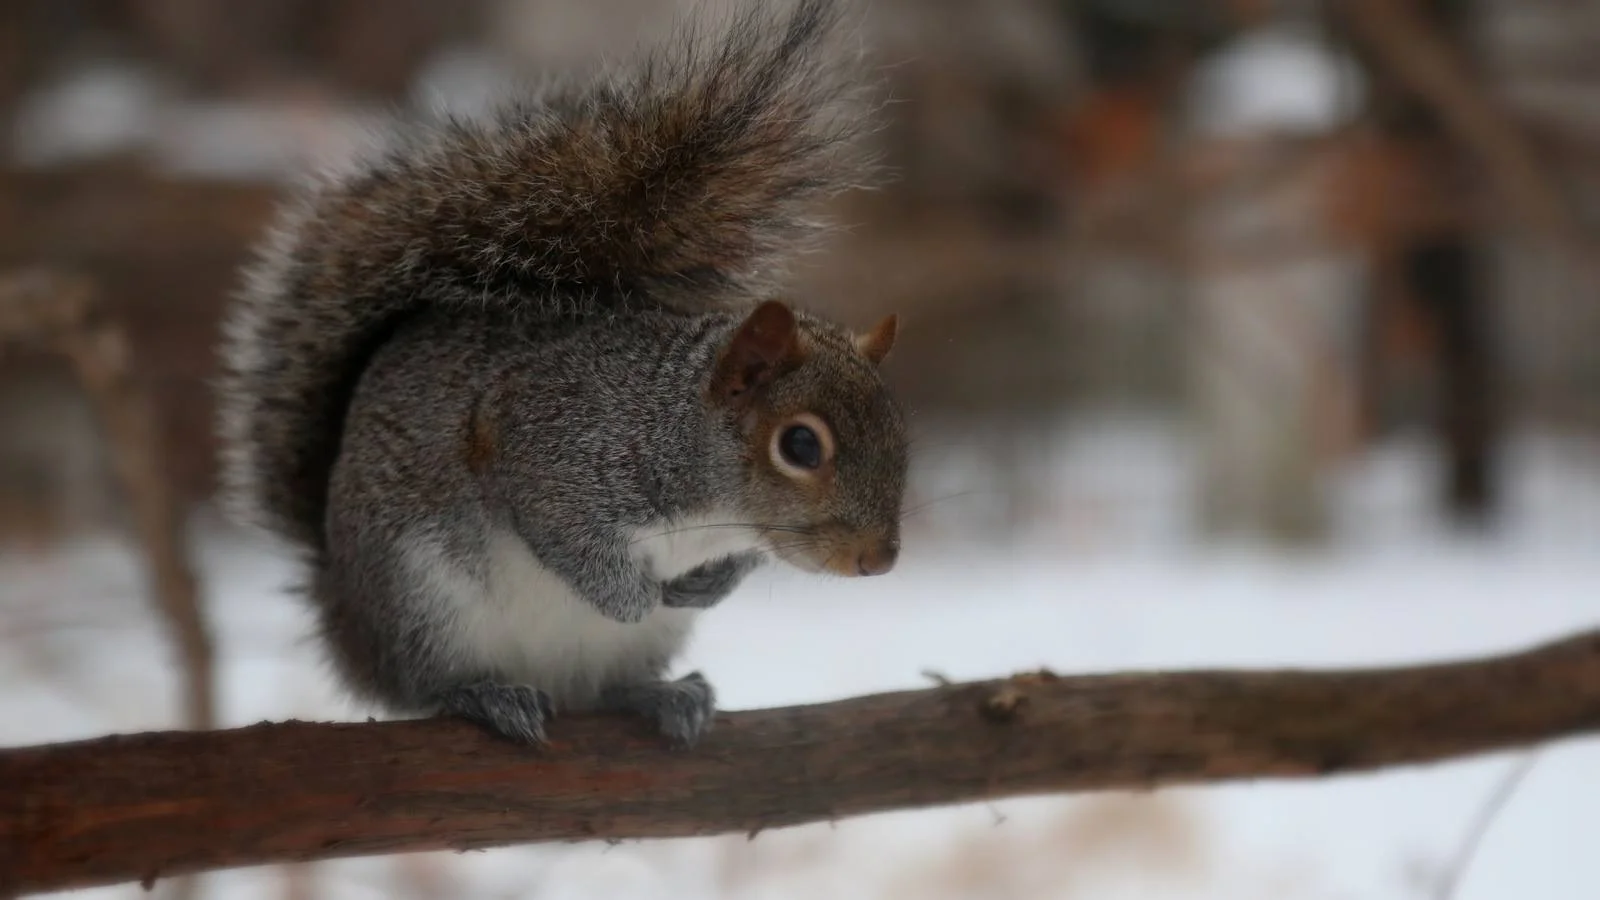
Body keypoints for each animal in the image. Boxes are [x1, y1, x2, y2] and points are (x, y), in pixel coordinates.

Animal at [216, 0, 908, 747]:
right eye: (800, 445)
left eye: (902, 434)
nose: (880, 561)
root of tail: (344, 616)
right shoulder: (551, 449)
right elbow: (568, 540)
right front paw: (635, 596)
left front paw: (704, 586)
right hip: (422, 603)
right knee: (425, 686)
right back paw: (486, 695)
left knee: (602, 690)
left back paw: (663, 695)